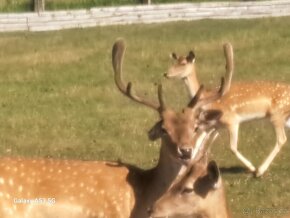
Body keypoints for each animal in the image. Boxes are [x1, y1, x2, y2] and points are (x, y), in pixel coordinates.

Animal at [164, 43, 290, 177]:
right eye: (174, 61)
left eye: (183, 63)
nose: (166, 74)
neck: (208, 99)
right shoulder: (215, 125)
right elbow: (198, 145)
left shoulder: (231, 120)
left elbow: (232, 147)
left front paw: (252, 168)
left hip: (276, 114)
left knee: (281, 139)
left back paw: (260, 170)